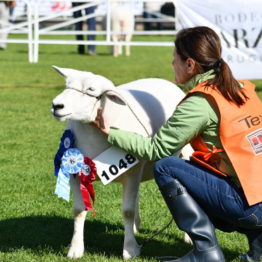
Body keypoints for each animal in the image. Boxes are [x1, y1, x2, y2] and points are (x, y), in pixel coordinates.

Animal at [51, 66, 193, 260]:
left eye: (91, 90)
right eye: (67, 85)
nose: (56, 105)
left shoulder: (132, 172)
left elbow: (127, 211)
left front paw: (130, 249)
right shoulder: (74, 173)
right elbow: (79, 211)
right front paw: (75, 249)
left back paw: (188, 238)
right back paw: (134, 227)